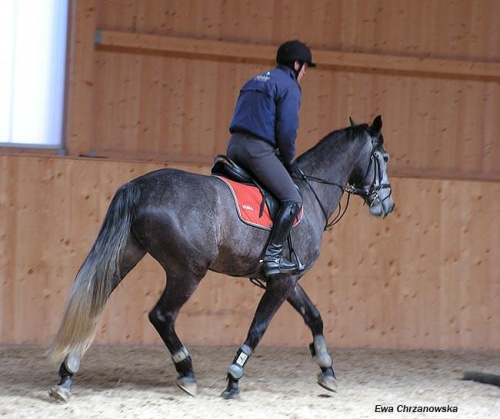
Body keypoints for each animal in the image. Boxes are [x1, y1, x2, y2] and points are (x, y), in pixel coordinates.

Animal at [49, 115, 394, 404]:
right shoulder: (282, 281)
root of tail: (140, 186)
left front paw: (327, 370)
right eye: (385, 158)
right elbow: (258, 329)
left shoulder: (288, 279)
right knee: (162, 315)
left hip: (128, 255)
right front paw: (233, 379)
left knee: (96, 301)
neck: (310, 194)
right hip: (187, 271)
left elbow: (314, 317)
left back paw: (67, 375)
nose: (387, 205)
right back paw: (186, 372)